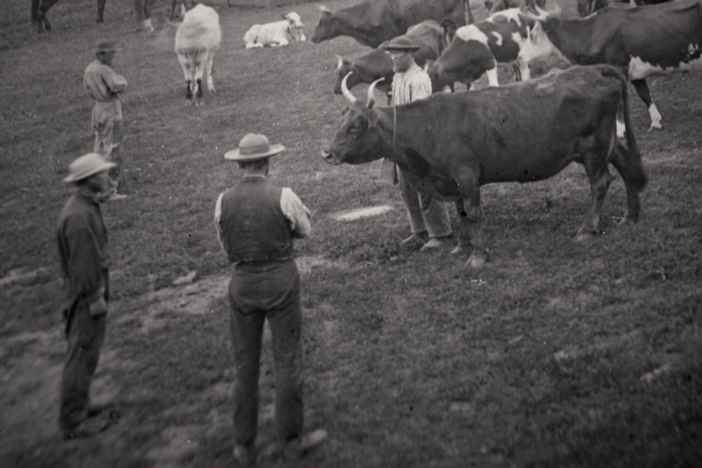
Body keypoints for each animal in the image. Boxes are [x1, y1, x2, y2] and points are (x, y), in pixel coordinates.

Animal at [324, 66, 648, 268]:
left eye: (358, 125)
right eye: (341, 118)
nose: (327, 152)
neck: (427, 126)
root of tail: (594, 70)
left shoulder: (467, 176)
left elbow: (474, 211)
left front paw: (478, 256)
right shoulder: (452, 180)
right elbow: (462, 213)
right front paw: (461, 246)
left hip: (593, 147)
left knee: (601, 183)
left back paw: (586, 229)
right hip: (604, 144)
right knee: (626, 167)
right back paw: (630, 217)